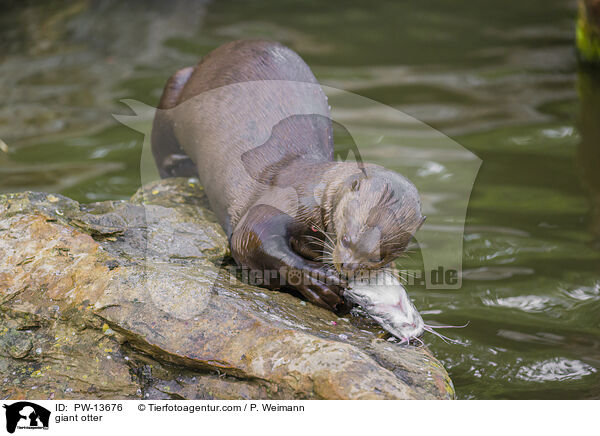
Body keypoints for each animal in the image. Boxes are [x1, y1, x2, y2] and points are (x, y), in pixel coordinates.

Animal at [152, 40, 424, 310]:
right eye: (346, 238)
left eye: (380, 257)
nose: (347, 267)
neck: (313, 194)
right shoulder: (281, 201)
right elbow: (248, 239)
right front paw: (315, 280)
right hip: (177, 88)